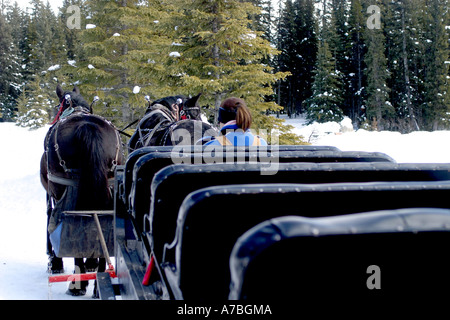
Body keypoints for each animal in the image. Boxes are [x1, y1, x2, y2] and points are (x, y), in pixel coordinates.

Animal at [40, 84, 123, 296]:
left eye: (57, 106)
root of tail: (88, 127)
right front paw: (91, 264)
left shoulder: (53, 192)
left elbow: (51, 219)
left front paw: (56, 262)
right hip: (107, 186)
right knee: (100, 223)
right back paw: (98, 282)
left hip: (66, 190)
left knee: (74, 228)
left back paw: (77, 284)